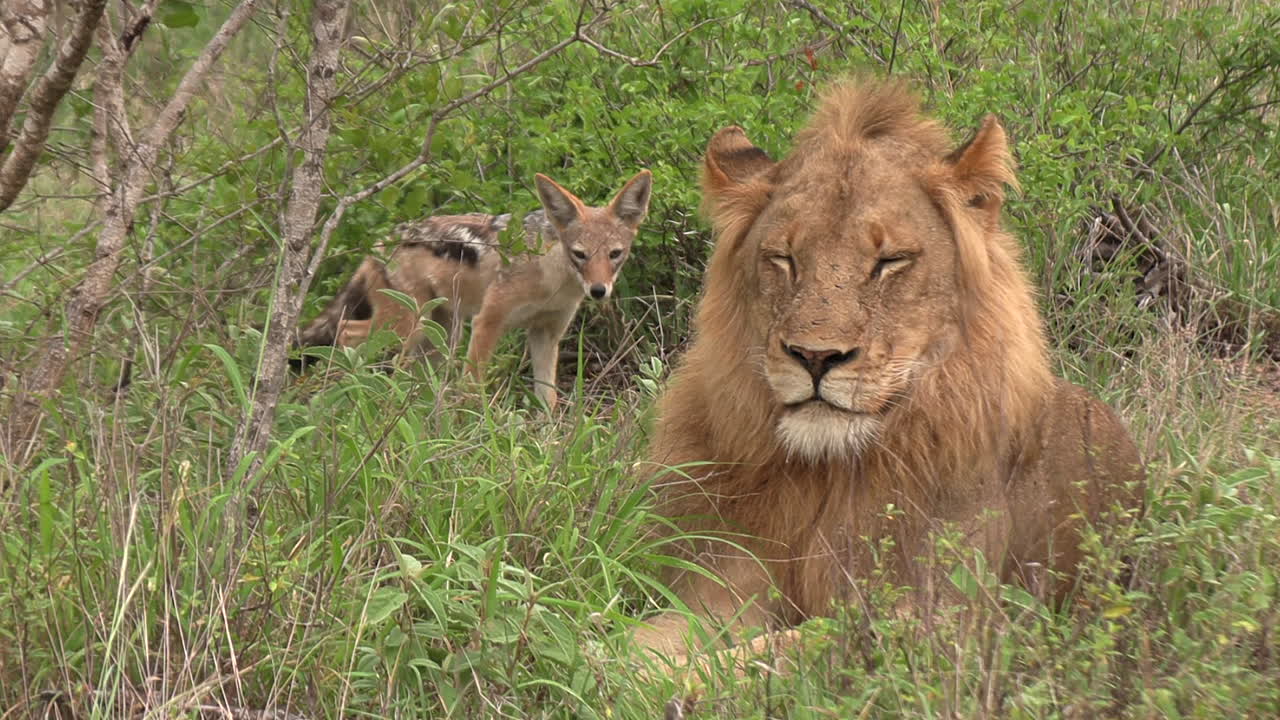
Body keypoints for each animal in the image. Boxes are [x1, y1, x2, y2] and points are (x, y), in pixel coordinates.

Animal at [636, 78, 1145, 659]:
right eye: (784, 258)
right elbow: (636, 642)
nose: (815, 357)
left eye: (890, 261)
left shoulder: (941, 620)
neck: (827, 474)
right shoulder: (715, 589)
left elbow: (777, 655)